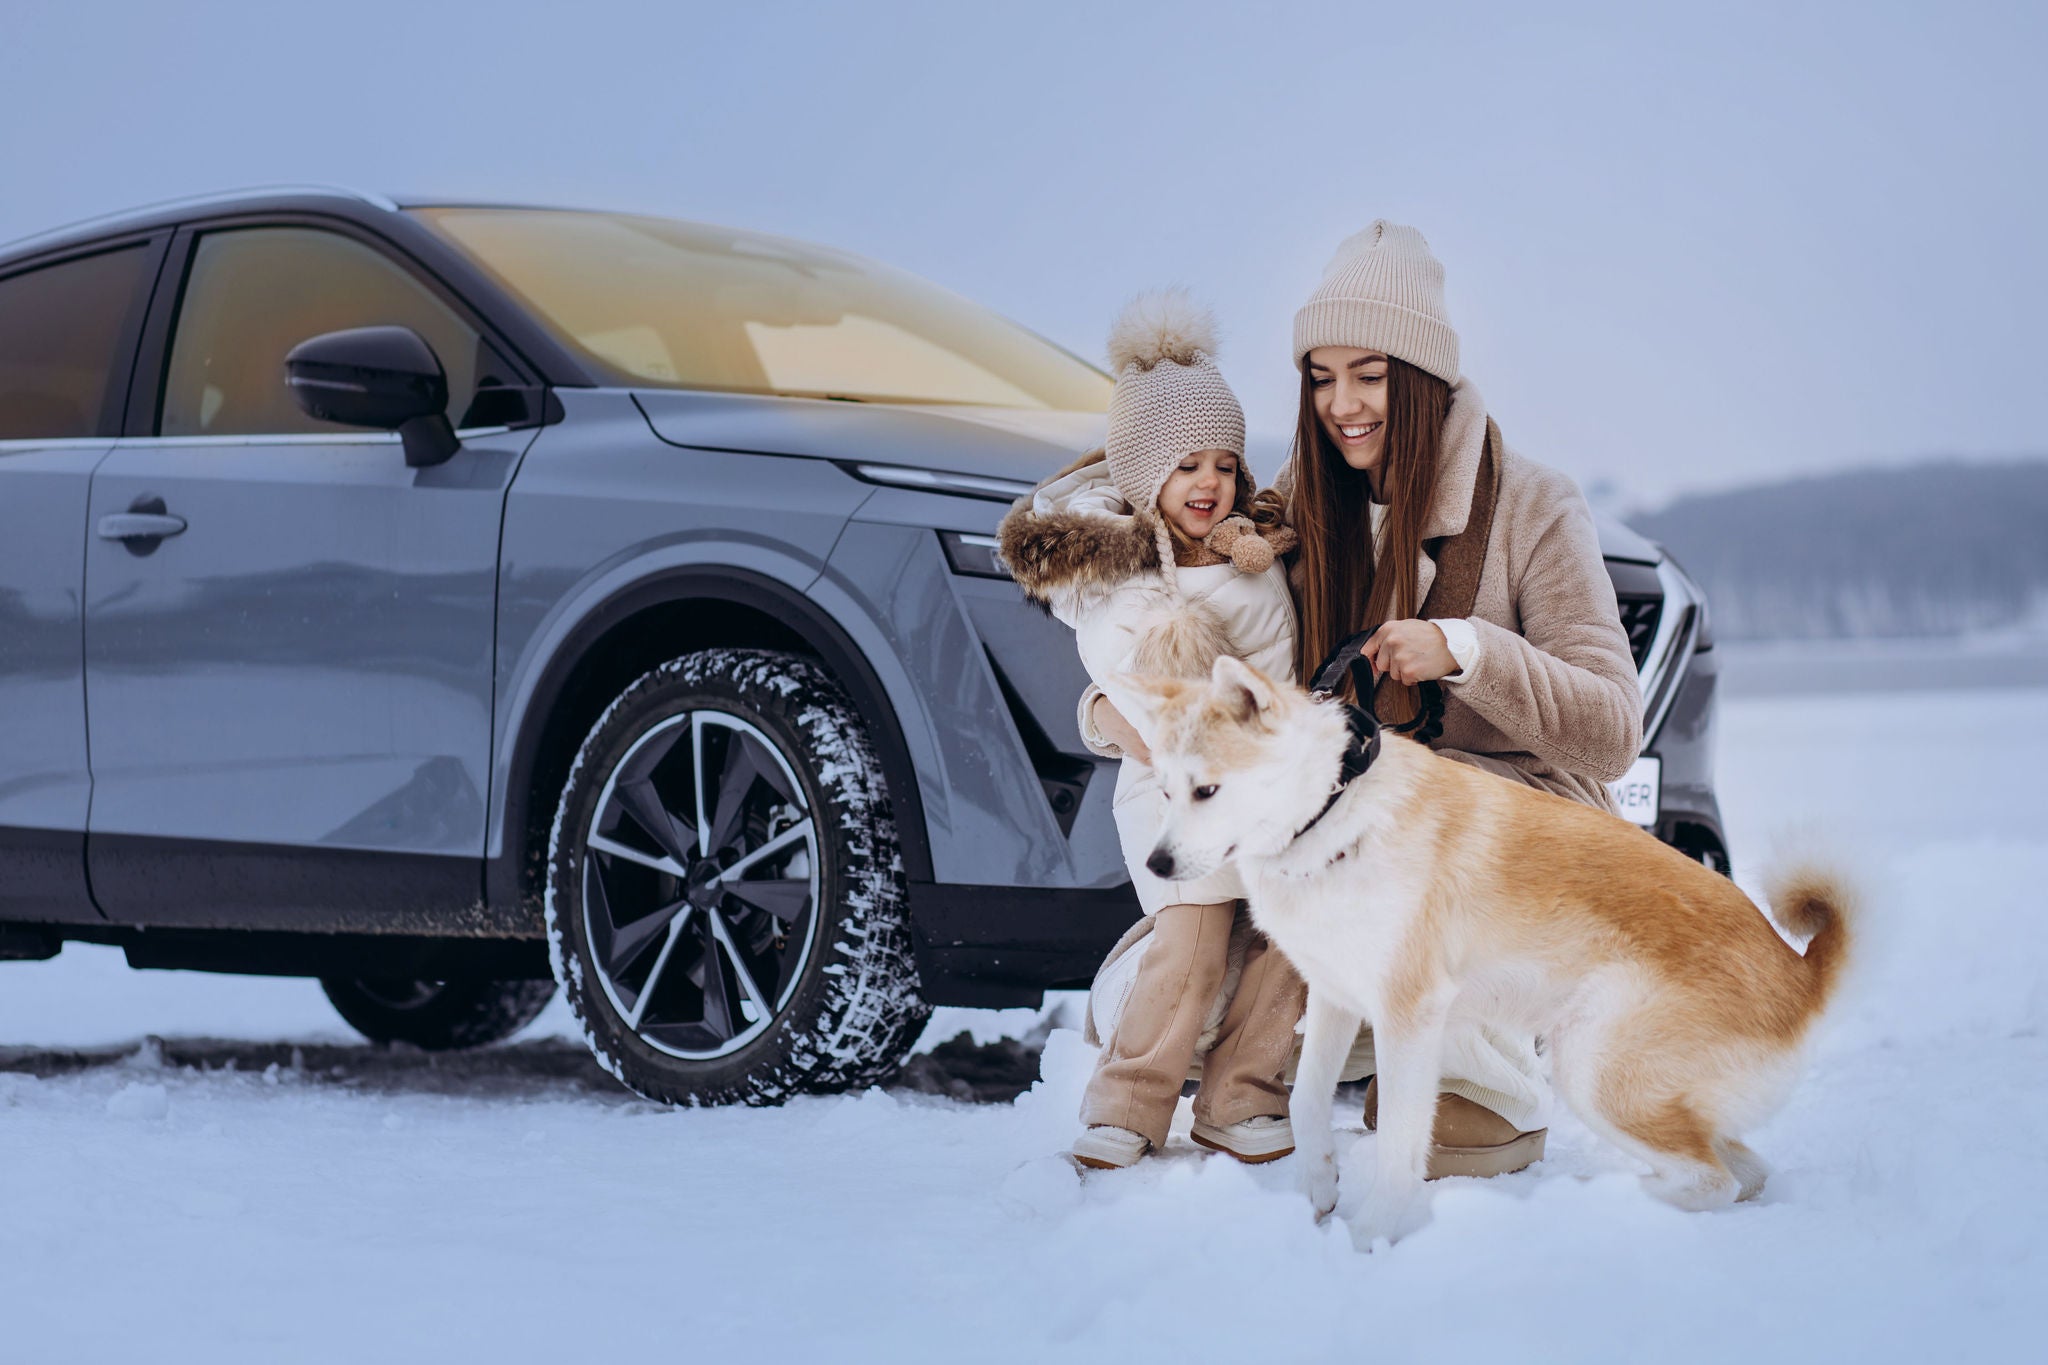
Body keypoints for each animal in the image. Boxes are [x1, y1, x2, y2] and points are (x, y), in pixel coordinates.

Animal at [1105, 654, 1859, 1244]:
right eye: (1167, 790)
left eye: (1207, 789)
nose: (1159, 864)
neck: (1335, 815)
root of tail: (1802, 972)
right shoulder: (1336, 998)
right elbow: (1307, 1102)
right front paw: (1319, 1187)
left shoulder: (1409, 1017)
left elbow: (1399, 1141)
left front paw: (1373, 1236)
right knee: (1743, 1172)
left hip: (1591, 1070)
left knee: (1713, 1180)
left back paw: (1606, 1208)